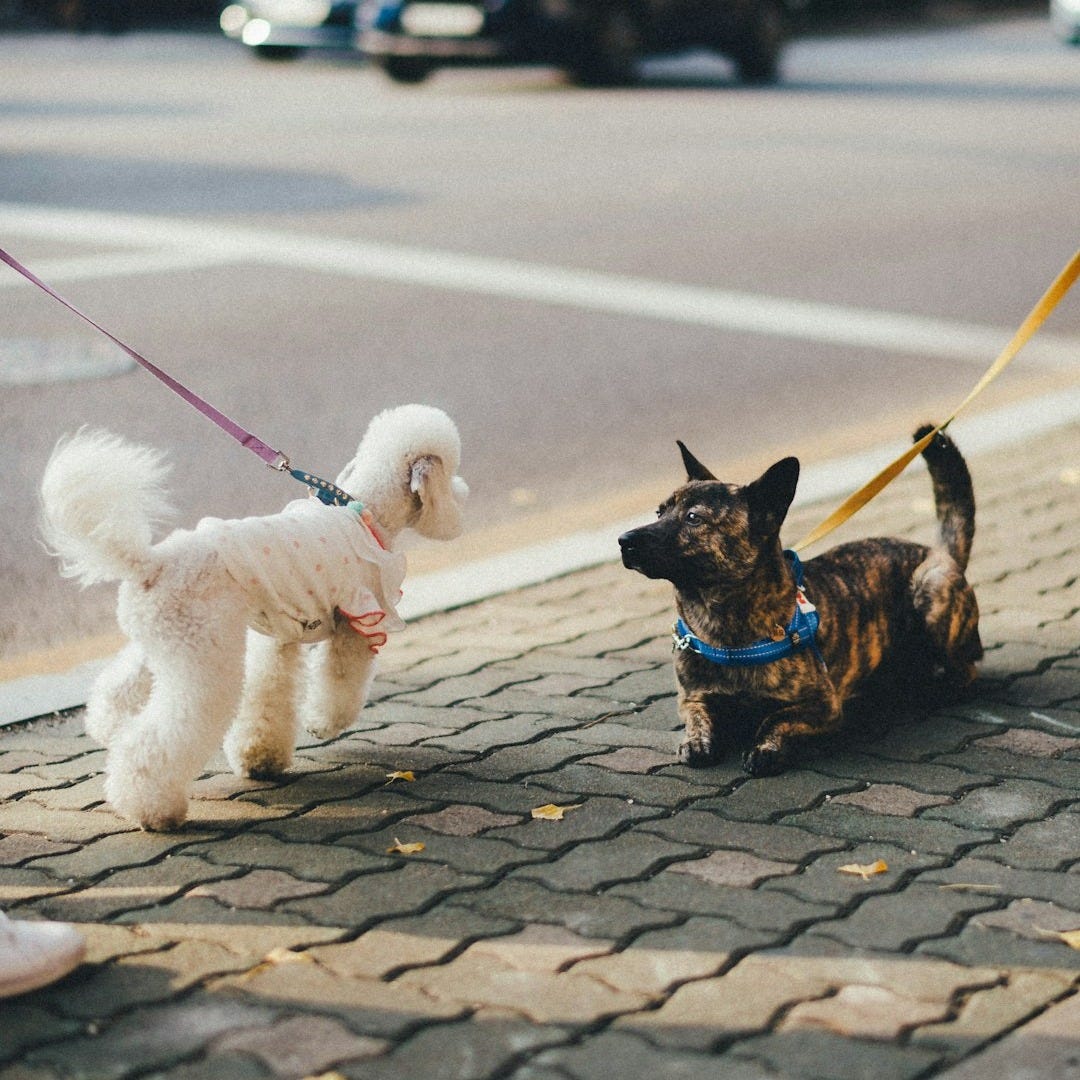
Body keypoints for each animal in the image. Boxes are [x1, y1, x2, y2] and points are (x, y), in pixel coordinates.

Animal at [39, 401, 468, 829]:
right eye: (450, 470)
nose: (463, 491)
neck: (366, 509)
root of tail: (149, 562)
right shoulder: (358, 620)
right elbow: (341, 682)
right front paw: (323, 724)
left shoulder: (278, 634)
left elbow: (267, 692)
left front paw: (260, 758)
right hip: (203, 656)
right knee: (157, 740)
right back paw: (154, 810)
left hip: (165, 645)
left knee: (120, 689)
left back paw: (107, 727)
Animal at [617, 423, 980, 777]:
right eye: (659, 512)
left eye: (694, 518)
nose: (624, 540)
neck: (721, 623)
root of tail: (940, 552)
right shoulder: (692, 698)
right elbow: (697, 716)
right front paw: (696, 741)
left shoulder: (824, 704)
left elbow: (775, 717)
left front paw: (765, 747)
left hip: (931, 593)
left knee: (966, 669)